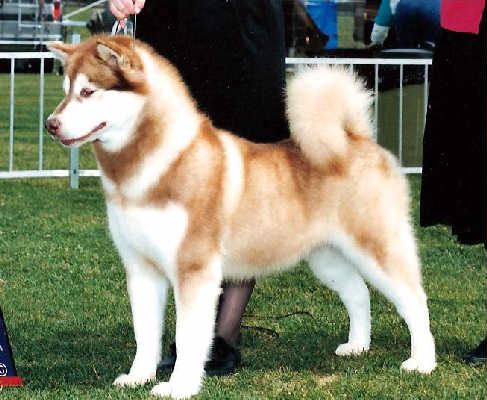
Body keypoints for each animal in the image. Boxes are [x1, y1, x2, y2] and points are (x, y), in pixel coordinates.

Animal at [45, 36, 438, 398]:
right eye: (65, 91)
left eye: (88, 91)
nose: (51, 123)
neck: (157, 166)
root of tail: (356, 138)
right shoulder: (141, 268)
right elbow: (145, 334)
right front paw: (138, 377)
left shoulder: (194, 270)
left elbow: (188, 338)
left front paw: (179, 386)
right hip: (326, 257)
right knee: (359, 294)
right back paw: (357, 346)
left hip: (377, 247)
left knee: (415, 300)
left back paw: (423, 362)